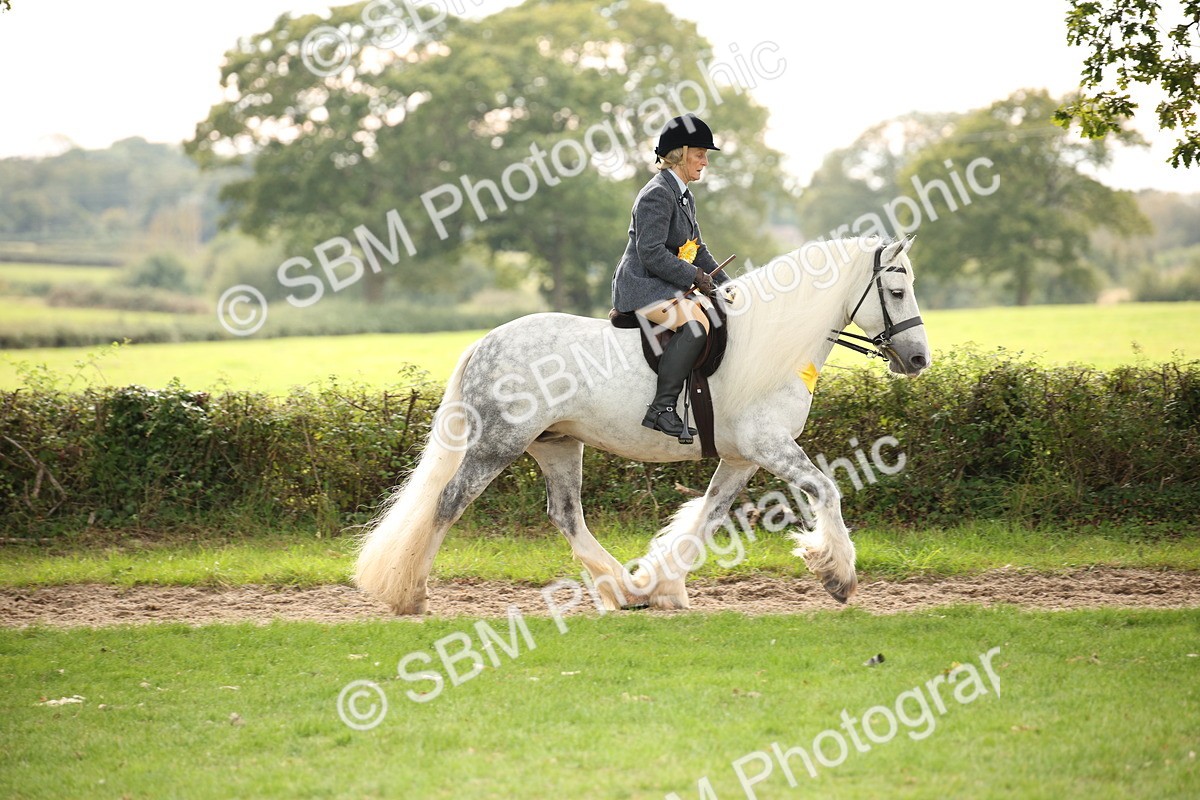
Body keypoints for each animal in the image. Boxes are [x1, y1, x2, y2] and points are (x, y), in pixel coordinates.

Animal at [355, 235, 930, 614]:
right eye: (897, 291)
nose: (919, 358)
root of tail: (484, 342)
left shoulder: (741, 457)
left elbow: (706, 516)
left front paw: (664, 586)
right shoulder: (770, 446)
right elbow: (827, 490)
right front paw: (839, 575)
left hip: (557, 446)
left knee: (566, 515)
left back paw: (622, 589)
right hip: (498, 443)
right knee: (449, 500)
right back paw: (412, 594)